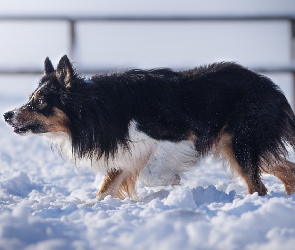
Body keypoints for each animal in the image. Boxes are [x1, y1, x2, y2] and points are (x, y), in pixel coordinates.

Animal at [3, 56, 295, 199]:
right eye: (31, 97)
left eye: (40, 101)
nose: (6, 114)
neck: (98, 109)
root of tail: (272, 87)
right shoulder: (125, 153)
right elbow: (105, 190)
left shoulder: (178, 136)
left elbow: (150, 175)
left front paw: (171, 182)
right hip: (241, 147)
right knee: (287, 170)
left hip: (240, 143)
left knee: (258, 187)